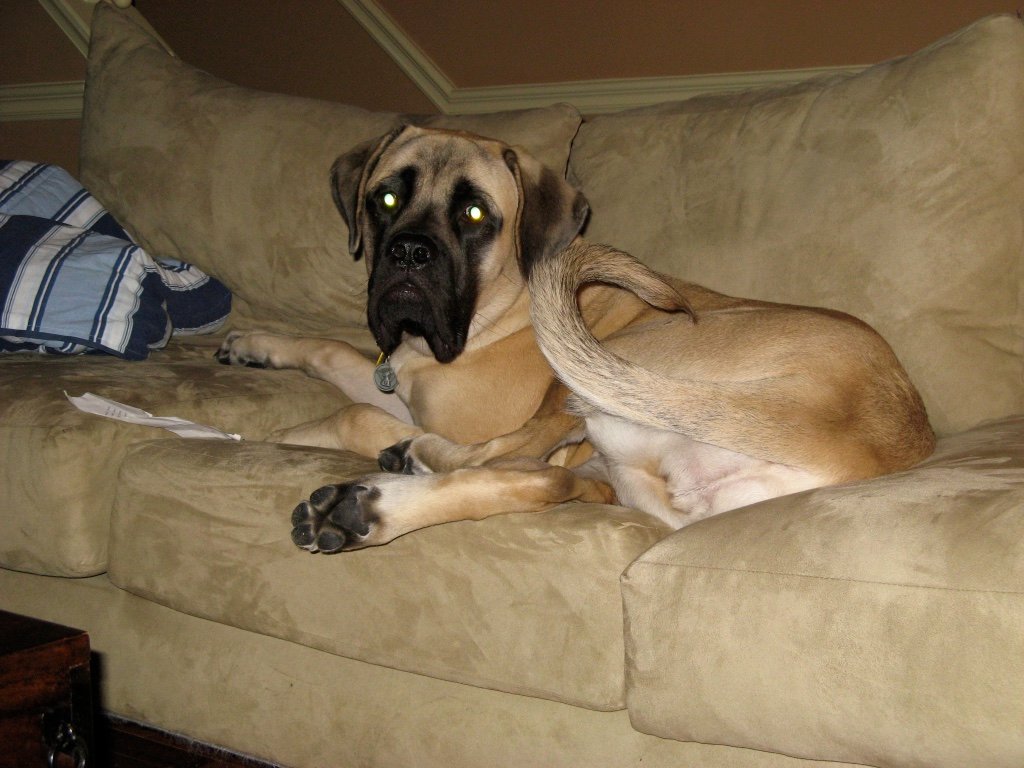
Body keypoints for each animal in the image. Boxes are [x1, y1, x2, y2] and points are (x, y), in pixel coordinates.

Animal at [218, 129, 937, 557]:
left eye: (475, 214)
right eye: (386, 198)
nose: (408, 254)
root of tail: (860, 435)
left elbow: (352, 412)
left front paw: (286, 434)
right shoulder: (400, 378)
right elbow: (335, 353)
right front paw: (256, 342)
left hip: (621, 360)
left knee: (511, 456)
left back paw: (397, 469)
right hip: (620, 461)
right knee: (538, 480)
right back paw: (367, 509)